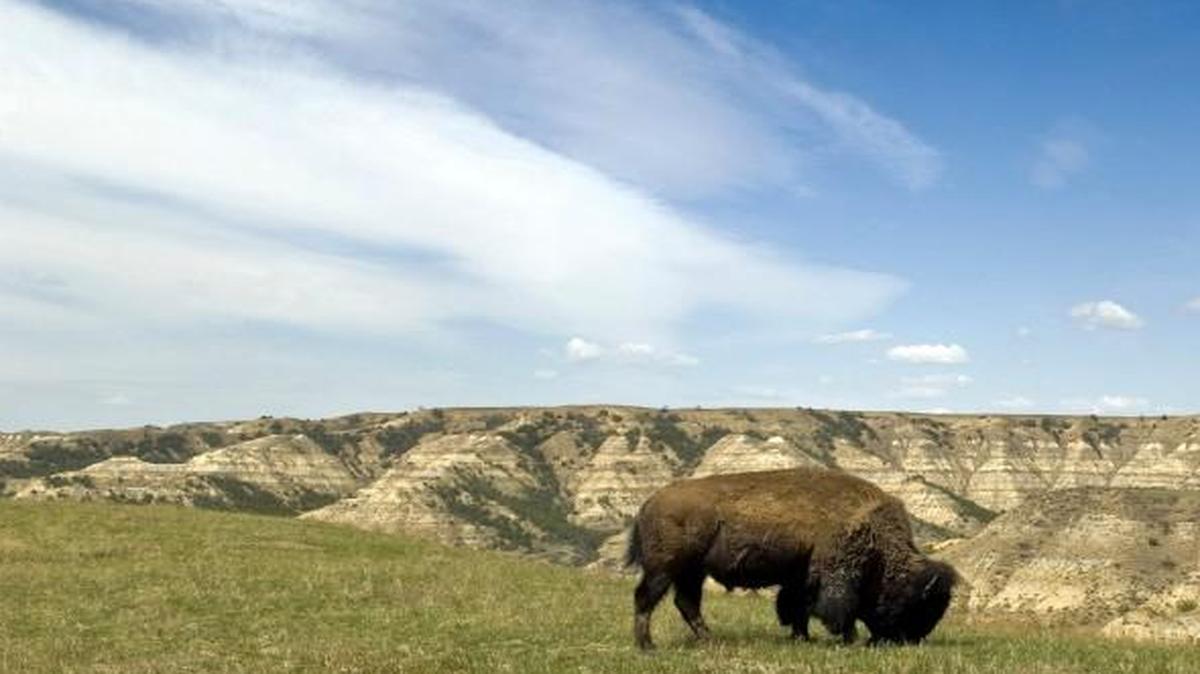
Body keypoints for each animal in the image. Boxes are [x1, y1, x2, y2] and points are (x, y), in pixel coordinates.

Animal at [626, 467, 958, 650]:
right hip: (664, 568)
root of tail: (649, 502)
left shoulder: (800, 578)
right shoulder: (835, 577)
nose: (910, 640)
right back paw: (647, 646)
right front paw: (847, 638)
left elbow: (797, 608)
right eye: (918, 606)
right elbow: (837, 610)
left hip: (691, 572)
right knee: (646, 598)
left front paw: (803, 638)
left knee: (686, 603)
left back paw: (709, 639)